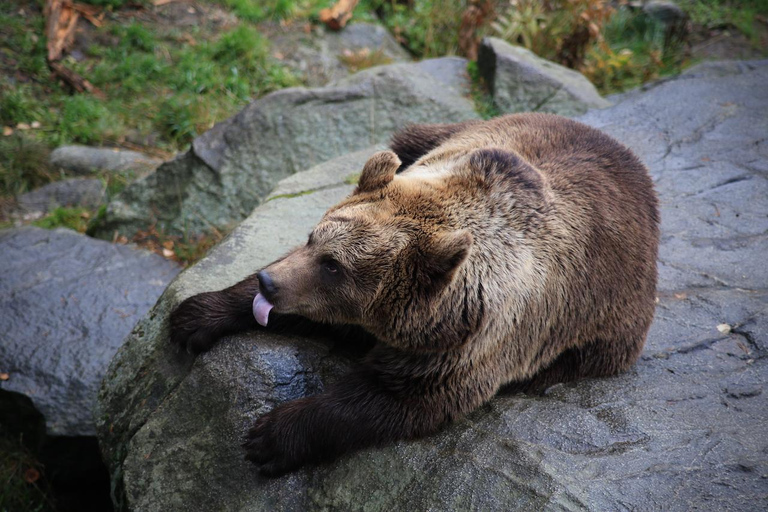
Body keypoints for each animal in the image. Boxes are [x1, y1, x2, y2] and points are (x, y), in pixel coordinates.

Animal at [172, 112, 660, 476]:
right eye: (313, 239)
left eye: (334, 266)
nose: (268, 284)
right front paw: (194, 316)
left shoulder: (471, 344)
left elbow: (394, 399)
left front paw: (270, 437)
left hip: (605, 332)